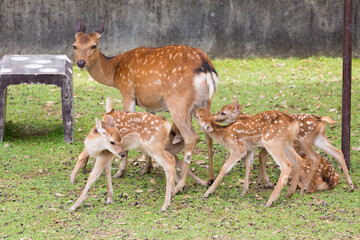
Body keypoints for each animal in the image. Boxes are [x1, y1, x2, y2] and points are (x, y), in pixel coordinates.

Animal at [72, 18, 219, 189]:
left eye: (93, 46)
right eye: (75, 45)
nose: (81, 62)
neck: (114, 73)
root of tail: (207, 69)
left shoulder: (127, 92)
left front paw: (120, 172)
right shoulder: (150, 104)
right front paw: (147, 168)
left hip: (178, 102)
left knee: (191, 137)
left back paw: (180, 185)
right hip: (205, 103)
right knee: (209, 135)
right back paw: (210, 179)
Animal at [212, 100, 352, 192]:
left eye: (223, 112)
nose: (213, 116)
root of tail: (320, 120)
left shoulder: (266, 145)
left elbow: (261, 157)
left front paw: (265, 182)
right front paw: (260, 183)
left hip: (304, 141)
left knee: (314, 158)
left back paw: (302, 188)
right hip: (318, 139)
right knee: (337, 152)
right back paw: (350, 184)